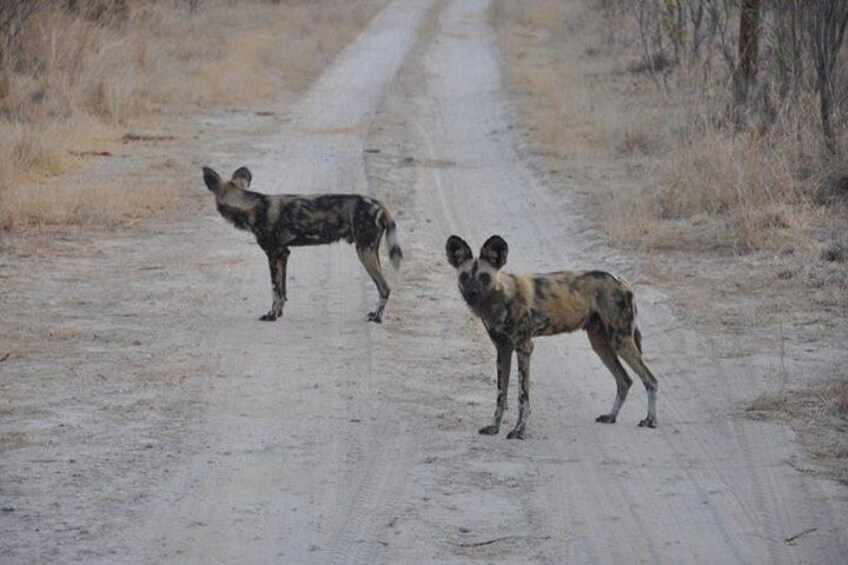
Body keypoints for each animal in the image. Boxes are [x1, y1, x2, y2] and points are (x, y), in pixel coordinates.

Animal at [205, 165, 404, 322]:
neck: (252, 206)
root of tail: (379, 205)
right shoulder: (283, 253)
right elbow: (282, 292)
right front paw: (278, 314)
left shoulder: (273, 253)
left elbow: (275, 290)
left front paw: (271, 315)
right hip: (370, 250)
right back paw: (374, 314)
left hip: (364, 251)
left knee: (384, 288)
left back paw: (377, 318)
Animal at [448, 234, 660, 436]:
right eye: (464, 276)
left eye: (484, 276)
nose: (472, 293)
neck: (500, 298)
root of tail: (621, 279)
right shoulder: (503, 350)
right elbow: (501, 395)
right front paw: (494, 427)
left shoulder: (524, 348)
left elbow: (522, 397)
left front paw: (519, 430)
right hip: (601, 344)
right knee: (624, 380)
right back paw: (611, 416)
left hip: (620, 341)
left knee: (651, 380)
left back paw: (650, 420)